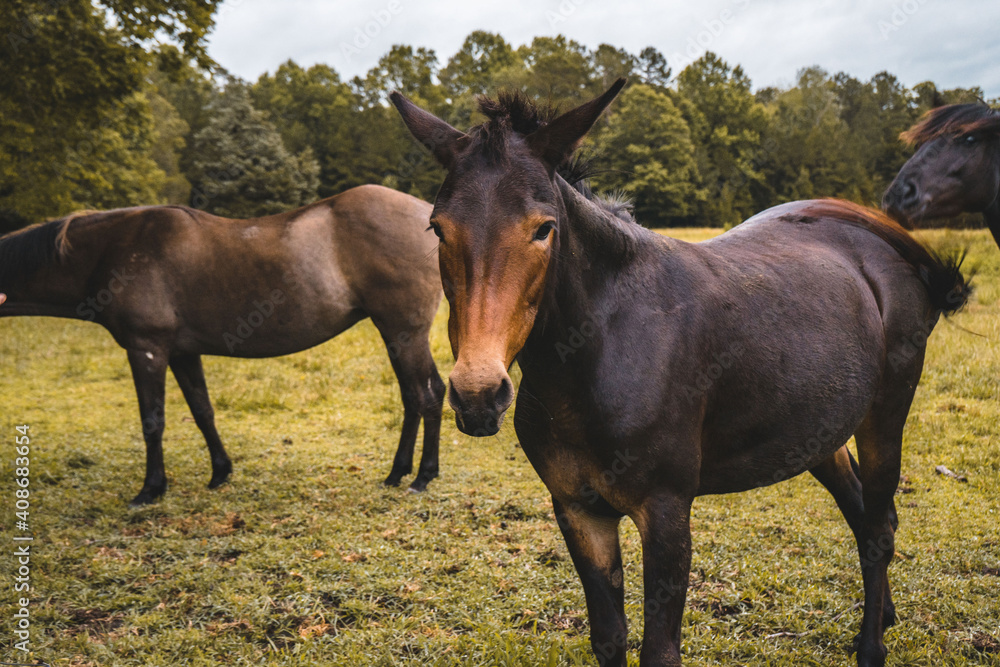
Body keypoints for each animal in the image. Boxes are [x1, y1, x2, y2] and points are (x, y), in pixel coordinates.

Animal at [0, 185, 446, 504]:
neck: (114, 249)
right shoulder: (182, 352)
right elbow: (202, 411)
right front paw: (219, 472)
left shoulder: (147, 349)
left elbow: (152, 421)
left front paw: (151, 489)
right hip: (397, 335)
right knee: (418, 396)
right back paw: (398, 473)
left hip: (404, 333)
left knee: (424, 396)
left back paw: (422, 477)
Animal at [390, 85, 968, 667]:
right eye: (437, 229)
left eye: (543, 229)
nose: (478, 394)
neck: (601, 351)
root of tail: (880, 241)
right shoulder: (578, 510)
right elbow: (609, 638)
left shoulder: (666, 513)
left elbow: (659, 650)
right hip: (818, 432)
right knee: (860, 510)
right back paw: (883, 618)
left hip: (885, 415)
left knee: (878, 526)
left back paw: (872, 645)